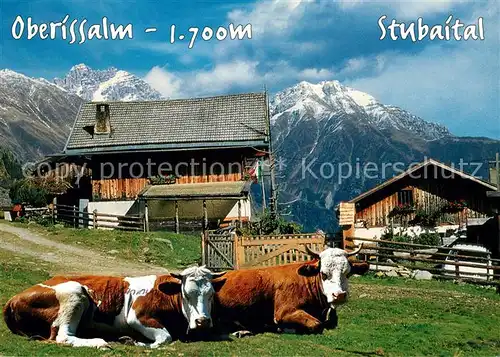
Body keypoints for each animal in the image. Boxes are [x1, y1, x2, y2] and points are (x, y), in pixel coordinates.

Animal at [3, 266, 223, 346]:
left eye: (211, 295)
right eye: (186, 294)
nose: (203, 321)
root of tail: (13, 298)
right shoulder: (137, 316)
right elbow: (165, 338)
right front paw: (137, 343)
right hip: (74, 293)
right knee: (63, 337)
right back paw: (99, 342)